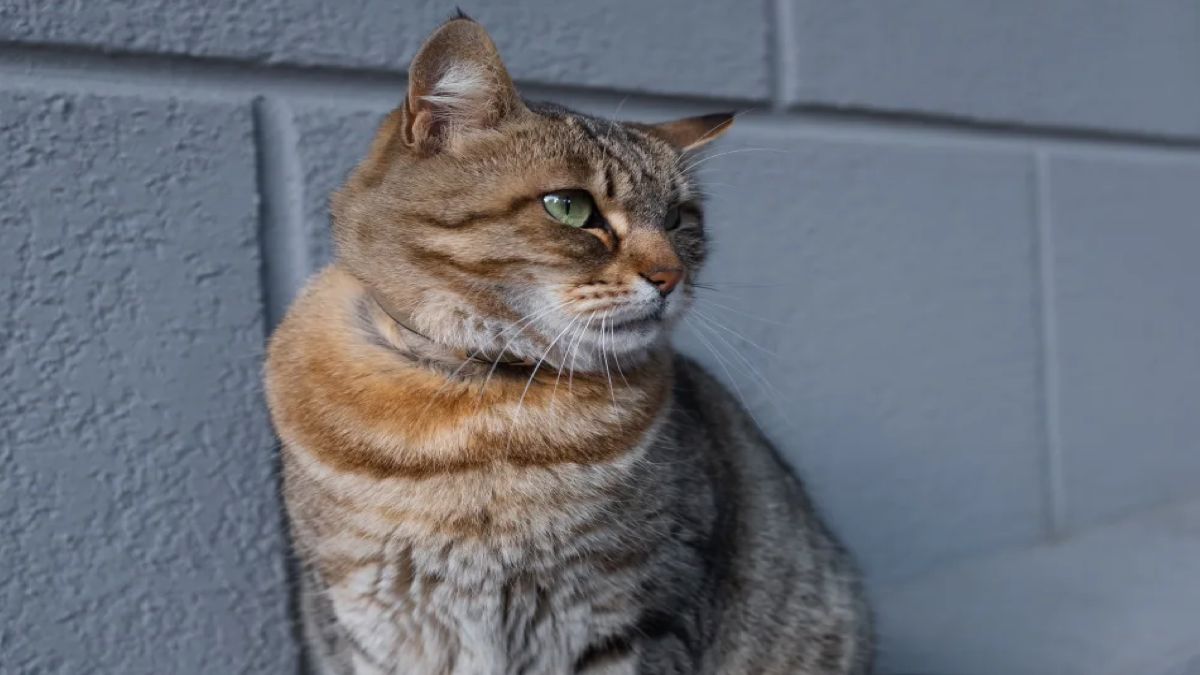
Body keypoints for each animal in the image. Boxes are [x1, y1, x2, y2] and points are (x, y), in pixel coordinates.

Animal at [265, 11, 873, 672]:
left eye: (679, 219)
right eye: (570, 207)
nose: (671, 277)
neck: (479, 406)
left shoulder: (638, 615)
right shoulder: (373, 628)